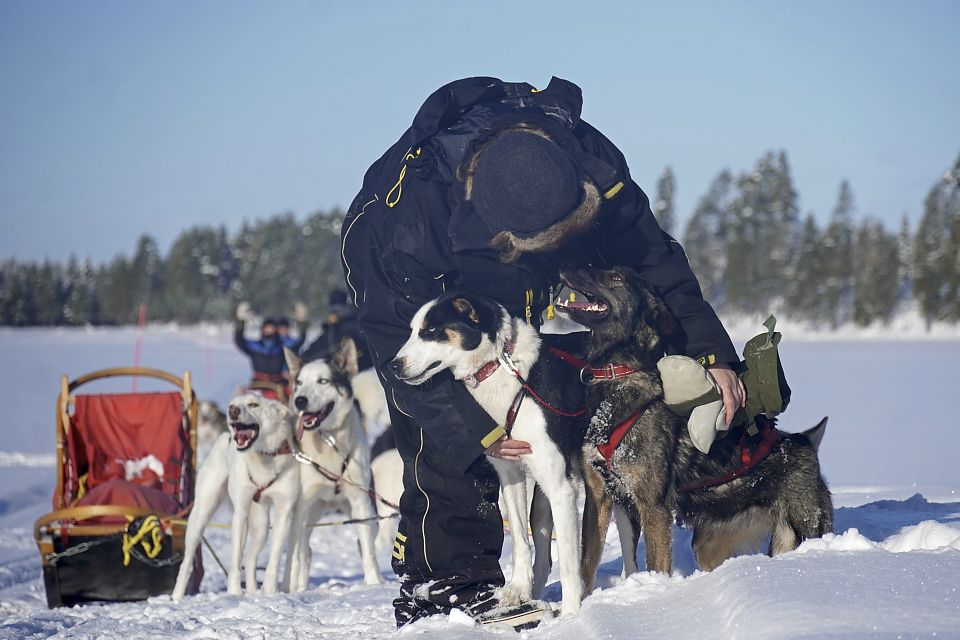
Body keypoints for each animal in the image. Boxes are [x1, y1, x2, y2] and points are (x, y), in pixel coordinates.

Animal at [172, 393, 300, 599]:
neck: (262, 457)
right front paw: (234, 592)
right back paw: (176, 597)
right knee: (187, 563)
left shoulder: (284, 513)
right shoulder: (240, 512)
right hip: (201, 515)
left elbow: (274, 559)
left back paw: (253, 591)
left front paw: (269, 592)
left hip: (261, 526)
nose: (232, 411)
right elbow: (234, 561)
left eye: (254, 404)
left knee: (249, 560)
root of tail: (224, 436)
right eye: (232, 404)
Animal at [283, 340, 383, 591]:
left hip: (368, 512)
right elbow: (297, 554)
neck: (328, 440)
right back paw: (298, 585)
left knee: (363, 542)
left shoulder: (360, 503)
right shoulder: (301, 507)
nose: (300, 400)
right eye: (299, 383)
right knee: (303, 550)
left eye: (323, 381)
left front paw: (373, 584)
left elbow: (368, 551)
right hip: (307, 514)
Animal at [390, 292, 587, 617]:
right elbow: (520, 539)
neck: (501, 368)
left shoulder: (562, 486)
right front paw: (517, 590)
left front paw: (572, 615)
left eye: (430, 331)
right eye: (411, 331)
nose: (393, 365)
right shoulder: (510, 473)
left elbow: (571, 563)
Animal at [555, 266, 833, 590]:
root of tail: (804, 442)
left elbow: (655, 565)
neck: (616, 380)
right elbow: (585, 569)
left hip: (802, 529)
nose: (566, 266)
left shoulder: (653, 507)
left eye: (616, 277)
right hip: (710, 544)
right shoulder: (598, 498)